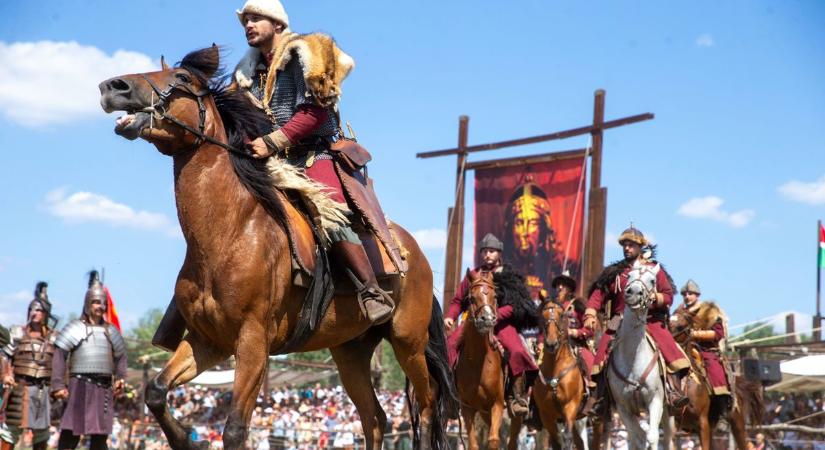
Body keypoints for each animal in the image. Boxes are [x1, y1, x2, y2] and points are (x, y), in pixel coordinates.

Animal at [100, 46, 458, 450]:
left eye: (182, 79)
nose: (114, 87)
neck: (230, 234)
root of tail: (415, 254)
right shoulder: (209, 342)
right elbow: (156, 392)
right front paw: (188, 441)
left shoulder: (253, 343)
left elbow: (235, 429)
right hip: (350, 350)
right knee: (375, 419)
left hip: (408, 341)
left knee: (426, 408)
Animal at [454, 268, 512, 448]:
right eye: (472, 298)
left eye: (495, 297)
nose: (487, 319)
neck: (478, 362)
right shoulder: (467, 407)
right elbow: (473, 443)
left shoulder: (497, 404)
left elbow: (493, 439)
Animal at [508, 300, 584, 450]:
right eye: (543, 317)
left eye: (561, 316)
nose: (551, 344)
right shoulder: (546, 414)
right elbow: (555, 441)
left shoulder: (571, 406)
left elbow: (566, 438)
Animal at [604, 260, 676, 450]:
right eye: (629, 275)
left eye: (652, 280)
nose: (634, 292)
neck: (633, 360)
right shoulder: (623, 408)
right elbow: (638, 438)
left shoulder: (656, 400)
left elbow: (652, 437)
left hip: (668, 411)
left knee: (667, 438)